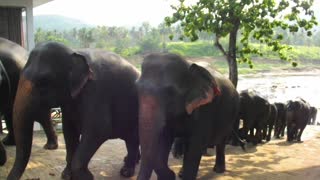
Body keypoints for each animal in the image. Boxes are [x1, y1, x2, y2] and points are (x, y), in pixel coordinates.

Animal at [7, 41, 140, 179]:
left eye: (44, 81)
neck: (74, 52)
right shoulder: (69, 102)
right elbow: (69, 131)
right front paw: (66, 175)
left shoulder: (97, 91)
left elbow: (98, 130)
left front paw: (87, 177)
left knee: (132, 139)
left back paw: (126, 171)